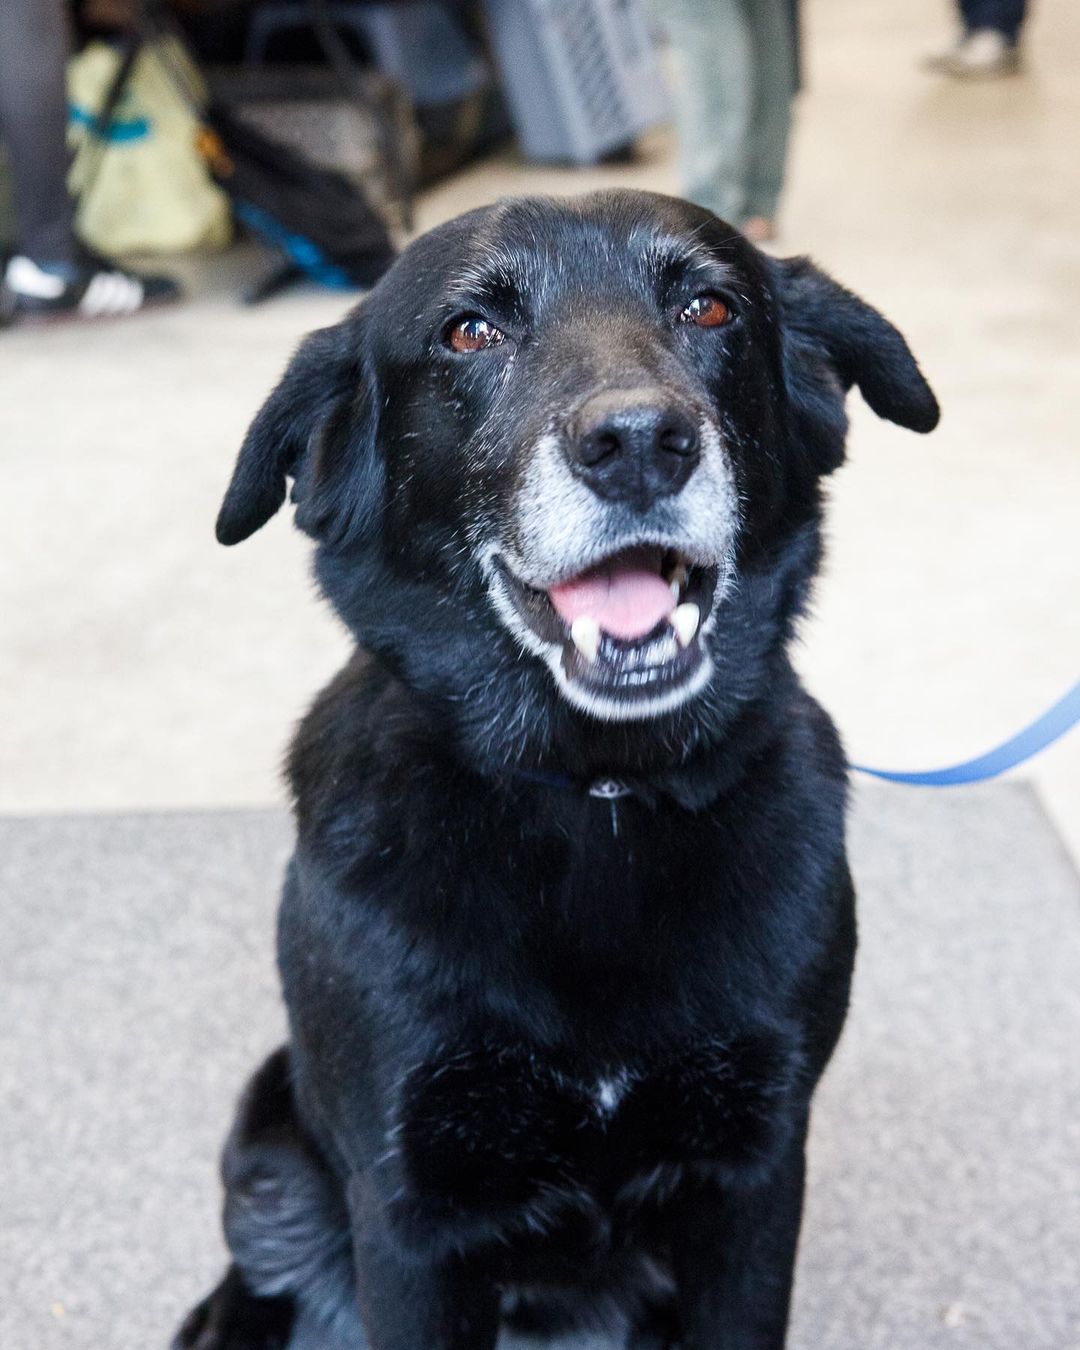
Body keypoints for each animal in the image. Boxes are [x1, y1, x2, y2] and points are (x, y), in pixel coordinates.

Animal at [175, 190, 934, 1350]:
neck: (599, 795)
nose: (639, 445)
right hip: (269, 1152)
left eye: (710, 308)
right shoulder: (410, 1213)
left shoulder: (759, 1178)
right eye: (470, 331)